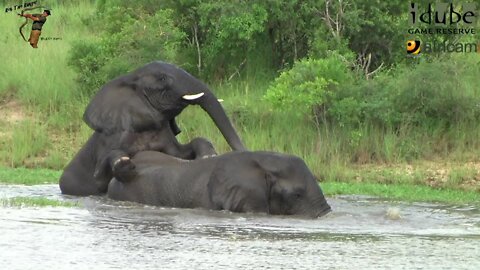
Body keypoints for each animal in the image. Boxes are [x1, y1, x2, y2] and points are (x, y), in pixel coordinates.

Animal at [59, 61, 246, 196]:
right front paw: (124, 164)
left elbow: (180, 154)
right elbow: (100, 177)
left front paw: (208, 156)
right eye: (162, 79)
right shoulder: (115, 136)